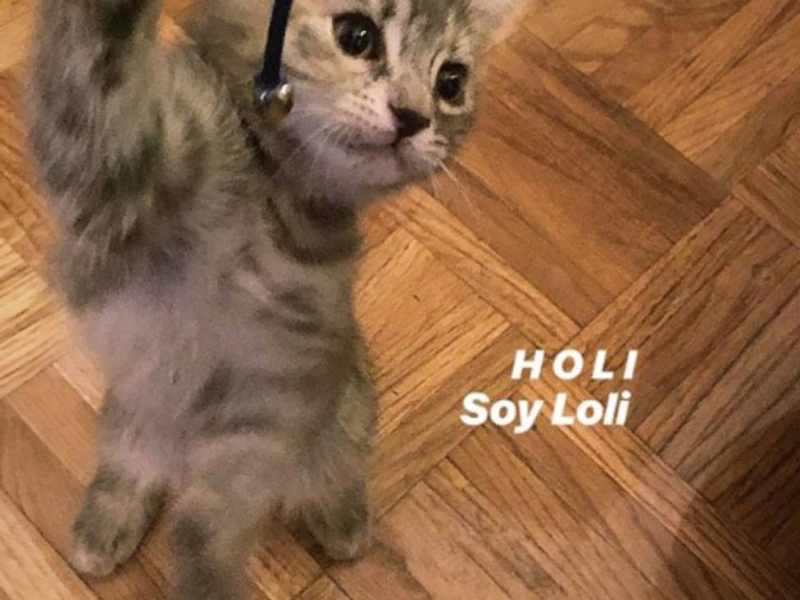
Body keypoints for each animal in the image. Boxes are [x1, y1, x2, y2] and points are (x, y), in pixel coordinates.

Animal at [27, 0, 528, 598]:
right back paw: (104, 526)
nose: (413, 117)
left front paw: (207, 575)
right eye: (356, 36)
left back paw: (342, 520)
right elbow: (93, 70)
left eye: (450, 82)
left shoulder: (278, 383)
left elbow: (221, 514)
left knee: (333, 466)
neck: (273, 191)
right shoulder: (114, 182)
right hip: (130, 409)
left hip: (347, 407)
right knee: (129, 463)